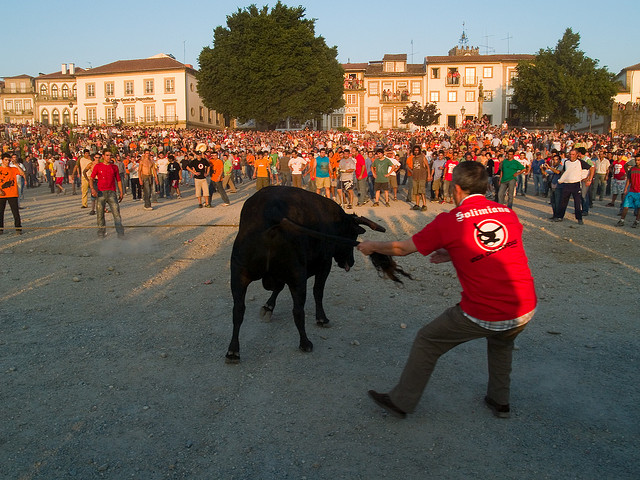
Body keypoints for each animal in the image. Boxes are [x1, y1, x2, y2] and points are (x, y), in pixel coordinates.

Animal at [225, 186, 384, 362]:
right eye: (352, 235)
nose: (352, 261)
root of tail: (273, 214)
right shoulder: (323, 265)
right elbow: (318, 291)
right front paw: (321, 318)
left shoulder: (281, 275)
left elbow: (277, 289)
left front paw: (268, 307)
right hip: (297, 274)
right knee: (298, 310)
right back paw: (305, 342)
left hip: (239, 272)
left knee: (238, 310)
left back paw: (233, 351)